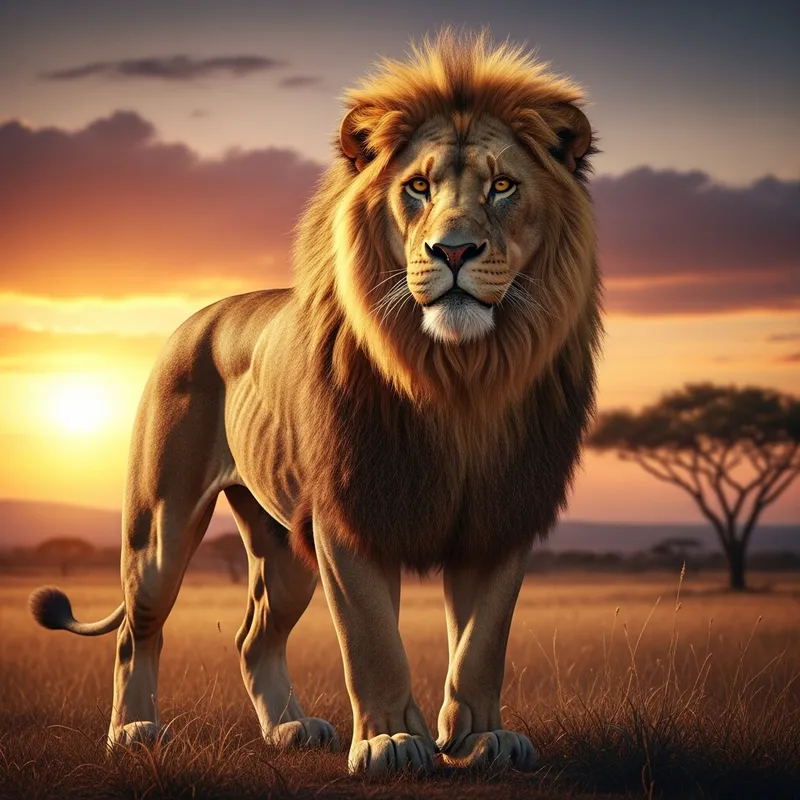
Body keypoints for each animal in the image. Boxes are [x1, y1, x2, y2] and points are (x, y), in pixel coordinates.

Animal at [30, 30, 602, 774]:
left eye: (502, 185)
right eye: (418, 187)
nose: (452, 250)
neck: (458, 377)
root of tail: (198, 316)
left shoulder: (502, 512)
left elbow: (482, 643)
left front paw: (483, 739)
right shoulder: (346, 517)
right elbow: (372, 640)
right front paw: (391, 742)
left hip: (281, 548)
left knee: (253, 637)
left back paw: (290, 730)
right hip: (160, 526)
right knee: (137, 628)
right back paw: (132, 732)